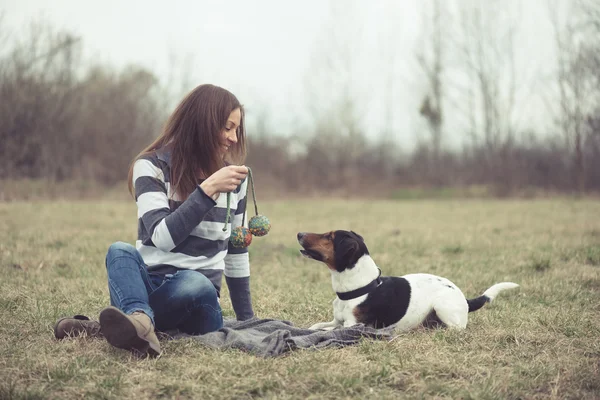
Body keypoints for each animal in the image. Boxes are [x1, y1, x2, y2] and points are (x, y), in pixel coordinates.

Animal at [298, 230, 516, 330]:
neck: (361, 288)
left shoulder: (352, 325)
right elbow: (316, 327)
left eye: (329, 237)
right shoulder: (336, 321)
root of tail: (464, 299)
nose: (299, 233)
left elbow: (326, 332)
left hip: (443, 307)